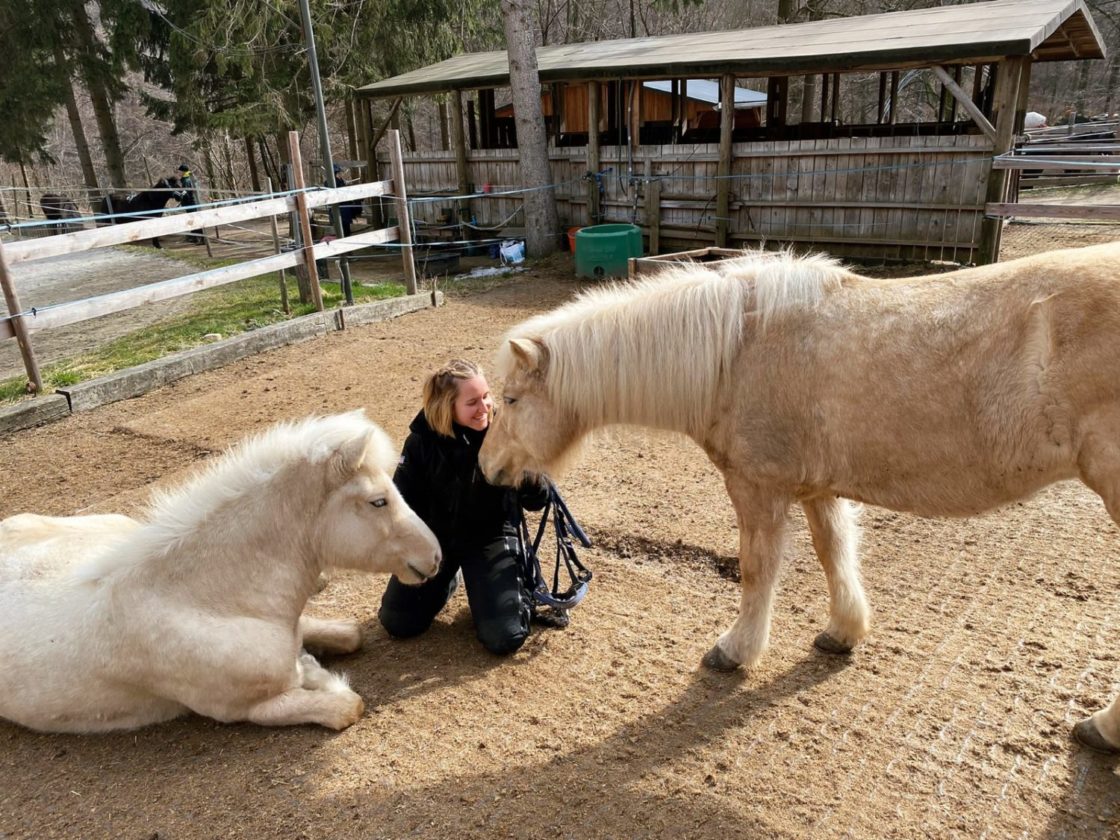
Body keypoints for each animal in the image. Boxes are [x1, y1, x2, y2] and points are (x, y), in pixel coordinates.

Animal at [0, 412, 436, 734]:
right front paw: (314, 670)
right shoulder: (251, 709)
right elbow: (347, 705)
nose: (435, 556)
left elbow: (347, 634)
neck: (206, 600)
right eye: (378, 501)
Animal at [479, 243, 1120, 757]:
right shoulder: (817, 489)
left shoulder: (757, 487)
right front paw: (844, 631)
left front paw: (736, 651)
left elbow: (758, 570)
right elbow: (834, 551)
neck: (737, 351)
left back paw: (1103, 729)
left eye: (510, 400)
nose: (486, 467)